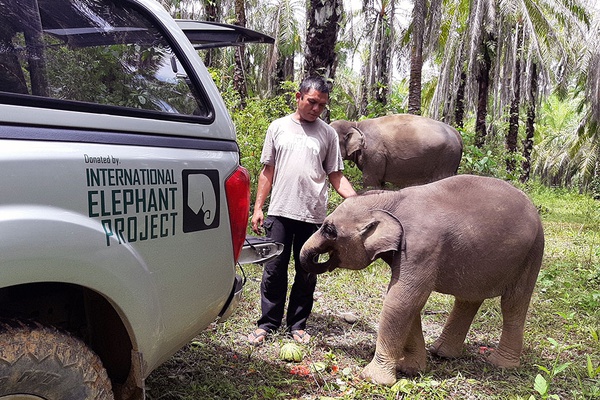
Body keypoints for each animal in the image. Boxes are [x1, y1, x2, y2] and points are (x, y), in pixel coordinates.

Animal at [300, 174, 544, 384]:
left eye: (329, 230)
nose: (320, 260)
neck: (391, 199)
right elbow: (408, 303)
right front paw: (410, 369)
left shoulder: (421, 247)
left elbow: (401, 300)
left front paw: (373, 378)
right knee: (468, 299)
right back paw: (442, 353)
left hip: (532, 253)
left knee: (513, 303)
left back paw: (500, 364)